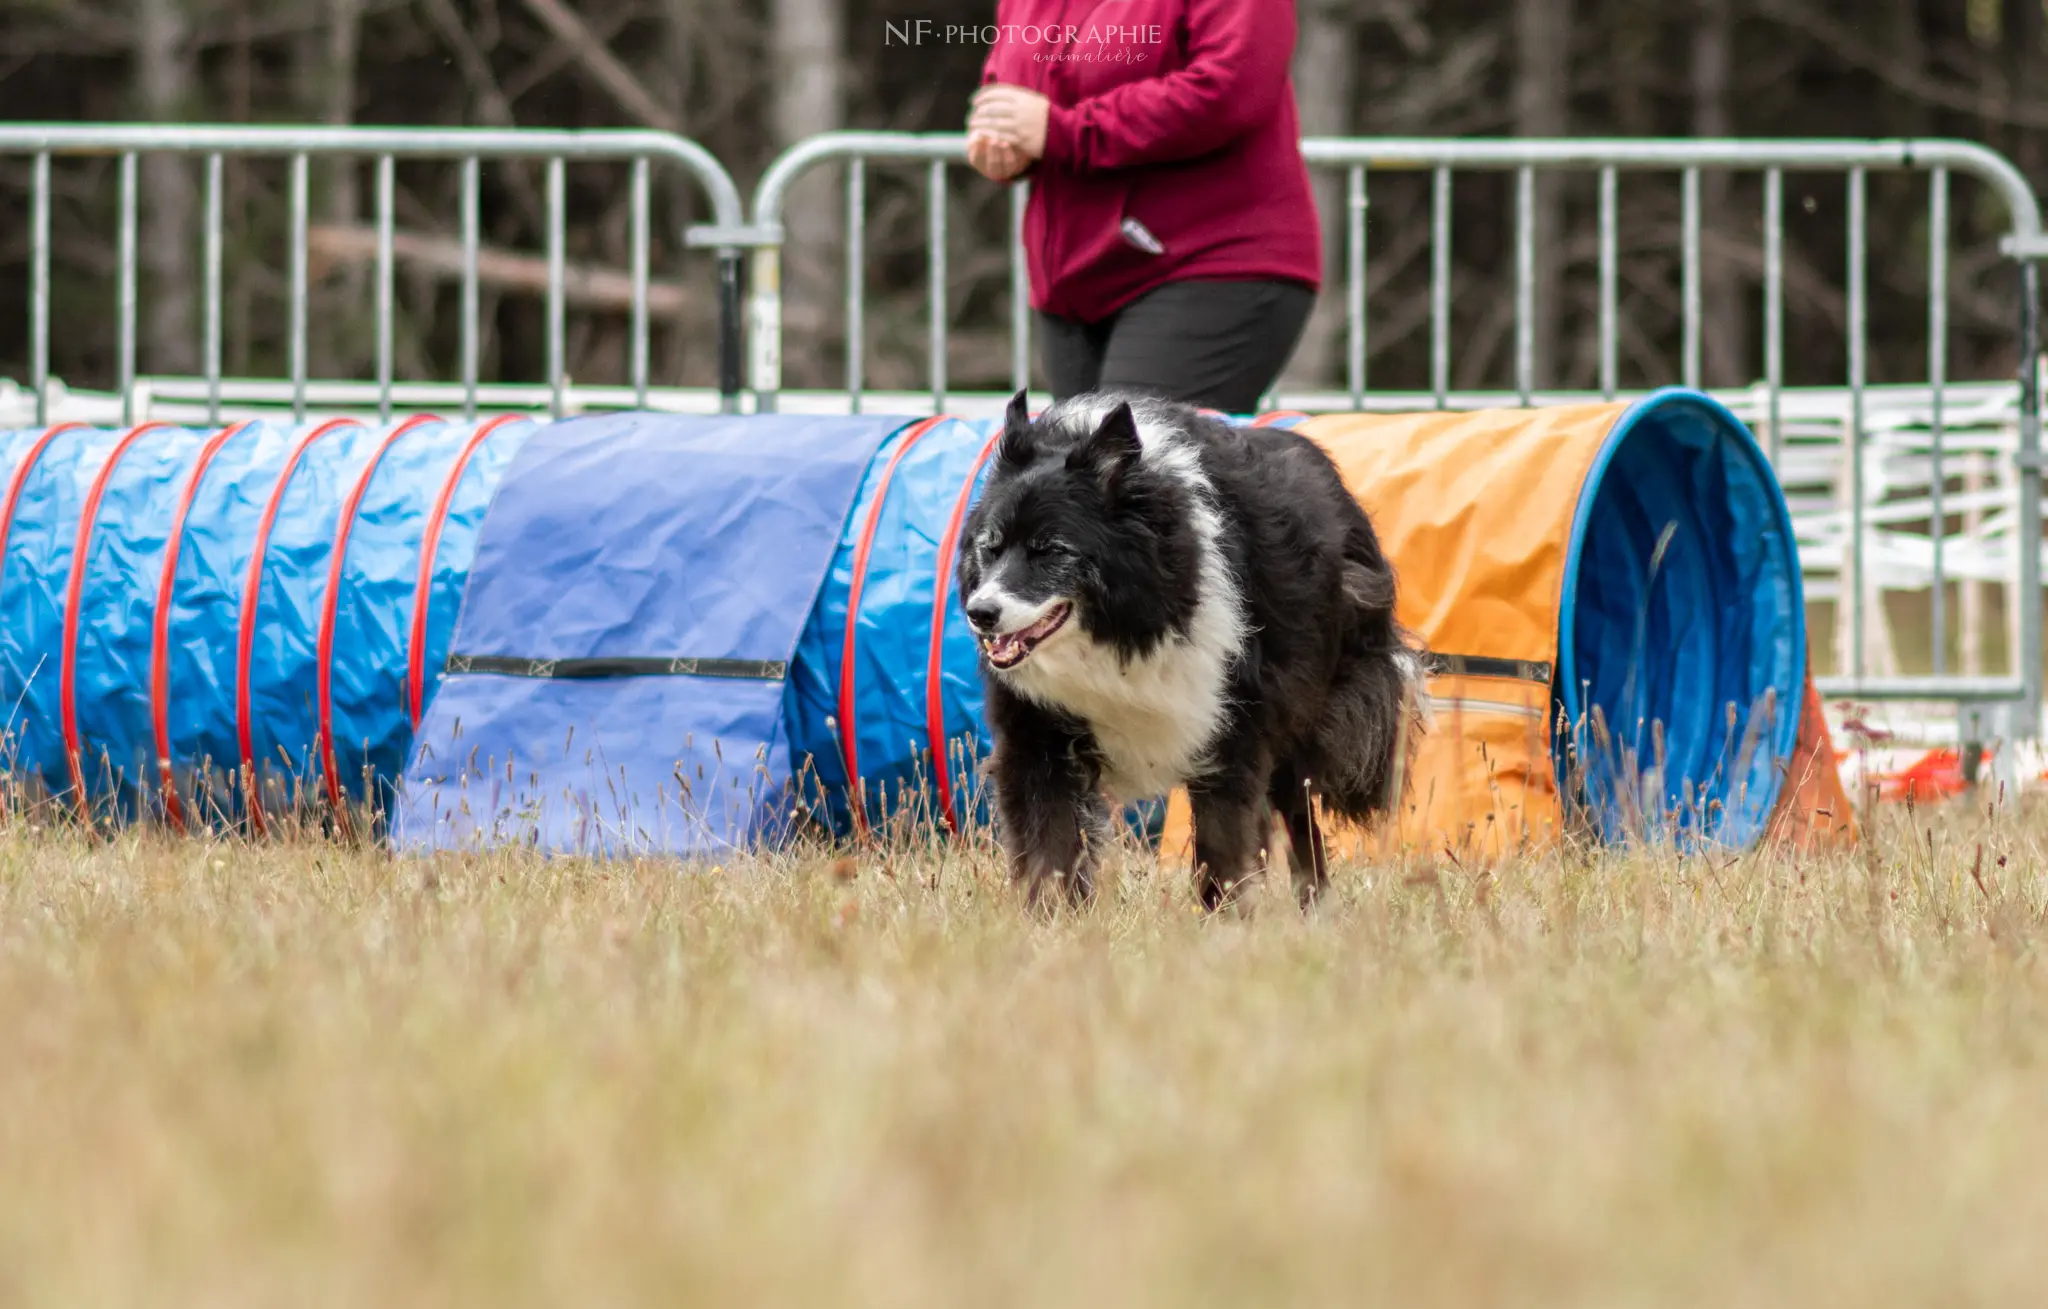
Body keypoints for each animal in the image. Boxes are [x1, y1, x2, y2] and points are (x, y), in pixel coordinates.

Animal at [954, 391, 1409, 909]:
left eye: (1051, 551)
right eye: (990, 548)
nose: (980, 613)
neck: (1125, 625)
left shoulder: (1233, 730)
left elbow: (1222, 847)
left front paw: (1226, 920)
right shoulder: (1037, 733)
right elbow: (1050, 846)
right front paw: (1050, 920)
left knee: (1299, 815)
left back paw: (1316, 908)